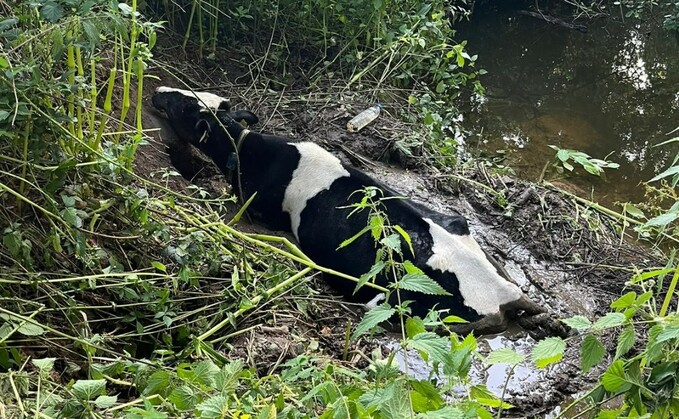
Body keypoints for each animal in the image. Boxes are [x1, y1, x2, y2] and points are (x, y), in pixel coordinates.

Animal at [153, 87, 556, 336]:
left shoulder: (256, 209)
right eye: (188, 96)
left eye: (183, 106)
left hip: (399, 302)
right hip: (461, 229)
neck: (250, 150)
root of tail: (505, 292)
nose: (157, 91)